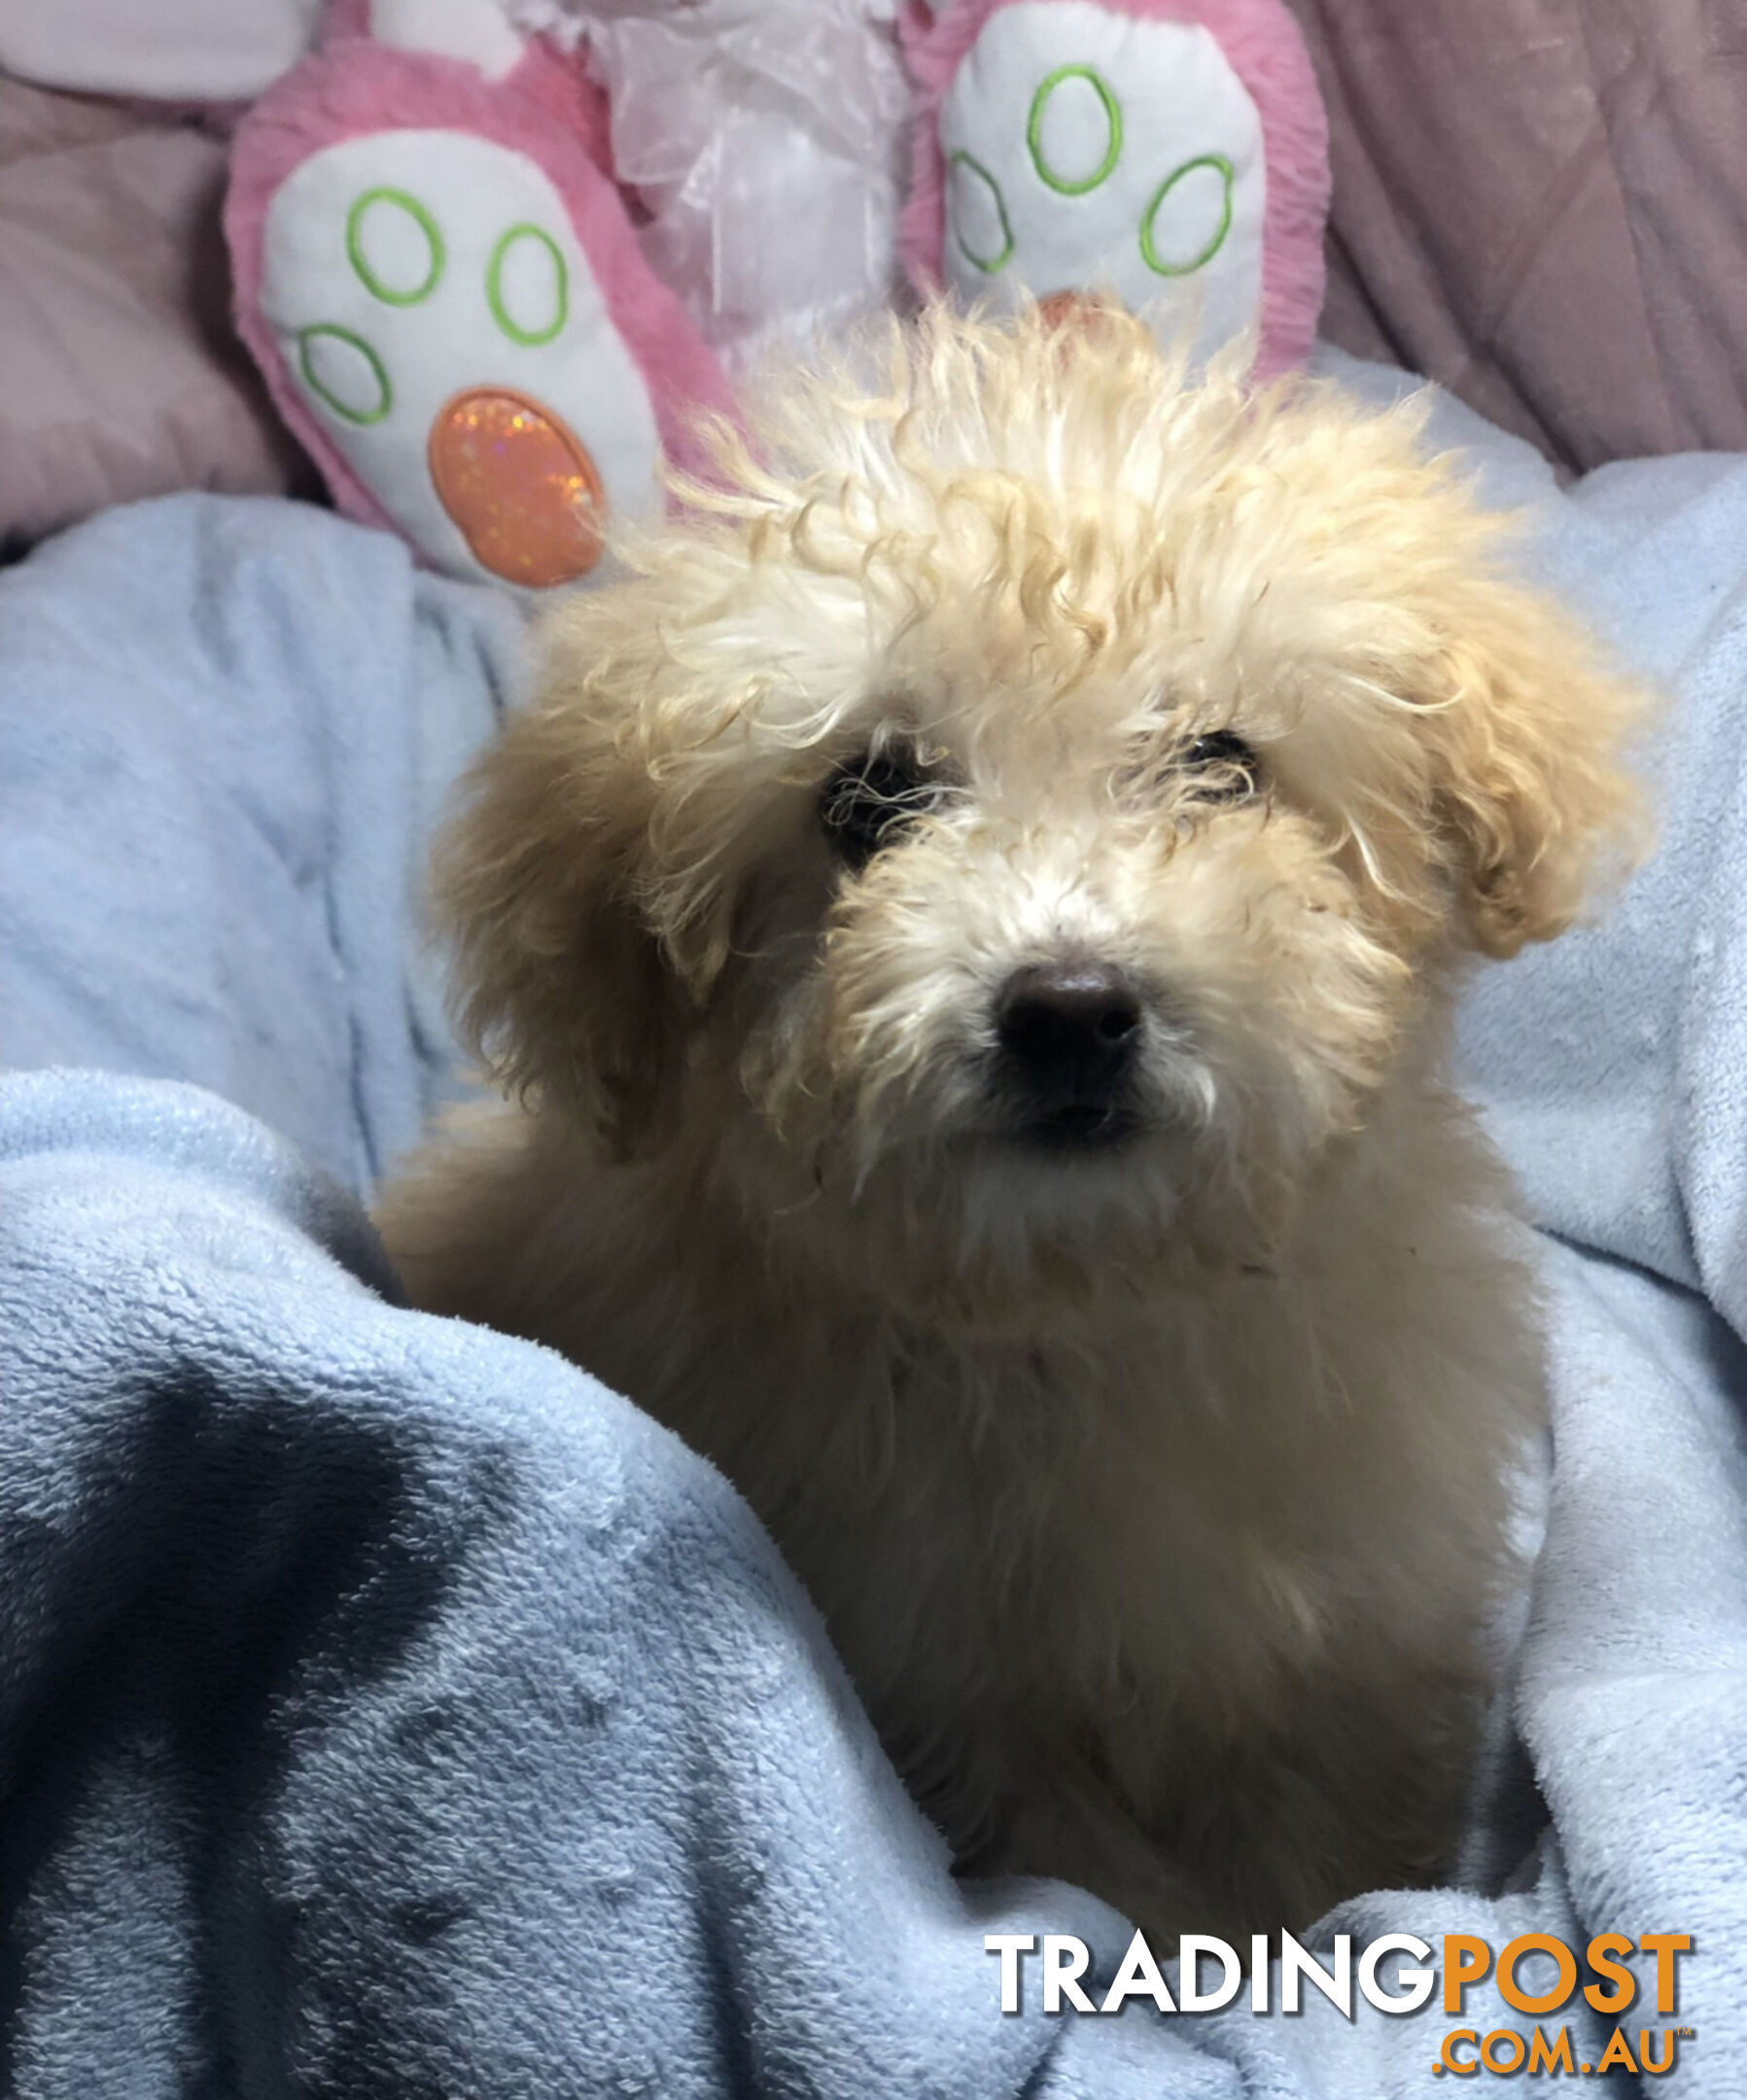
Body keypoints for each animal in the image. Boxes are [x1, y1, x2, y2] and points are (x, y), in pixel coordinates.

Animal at [375, 304, 1646, 1940]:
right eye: (864, 800)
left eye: (1221, 763)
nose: (1067, 1009)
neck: (1083, 1312)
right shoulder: (962, 1712)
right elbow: (1090, 1883)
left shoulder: (1341, 1654)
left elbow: (1314, 1840)